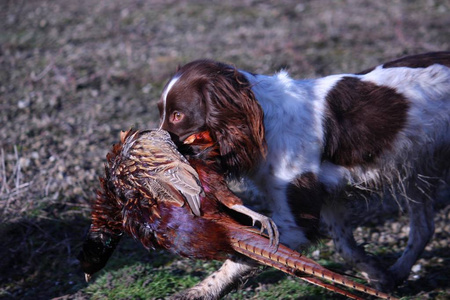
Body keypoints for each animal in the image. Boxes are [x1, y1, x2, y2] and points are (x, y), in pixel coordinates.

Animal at [156, 52, 448, 298]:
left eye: (178, 115)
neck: (263, 122)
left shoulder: (296, 219)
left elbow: (246, 255)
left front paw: (199, 292)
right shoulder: (329, 196)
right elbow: (345, 247)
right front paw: (378, 276)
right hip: (416, 172)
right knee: (423, 228)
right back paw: (399, 271)